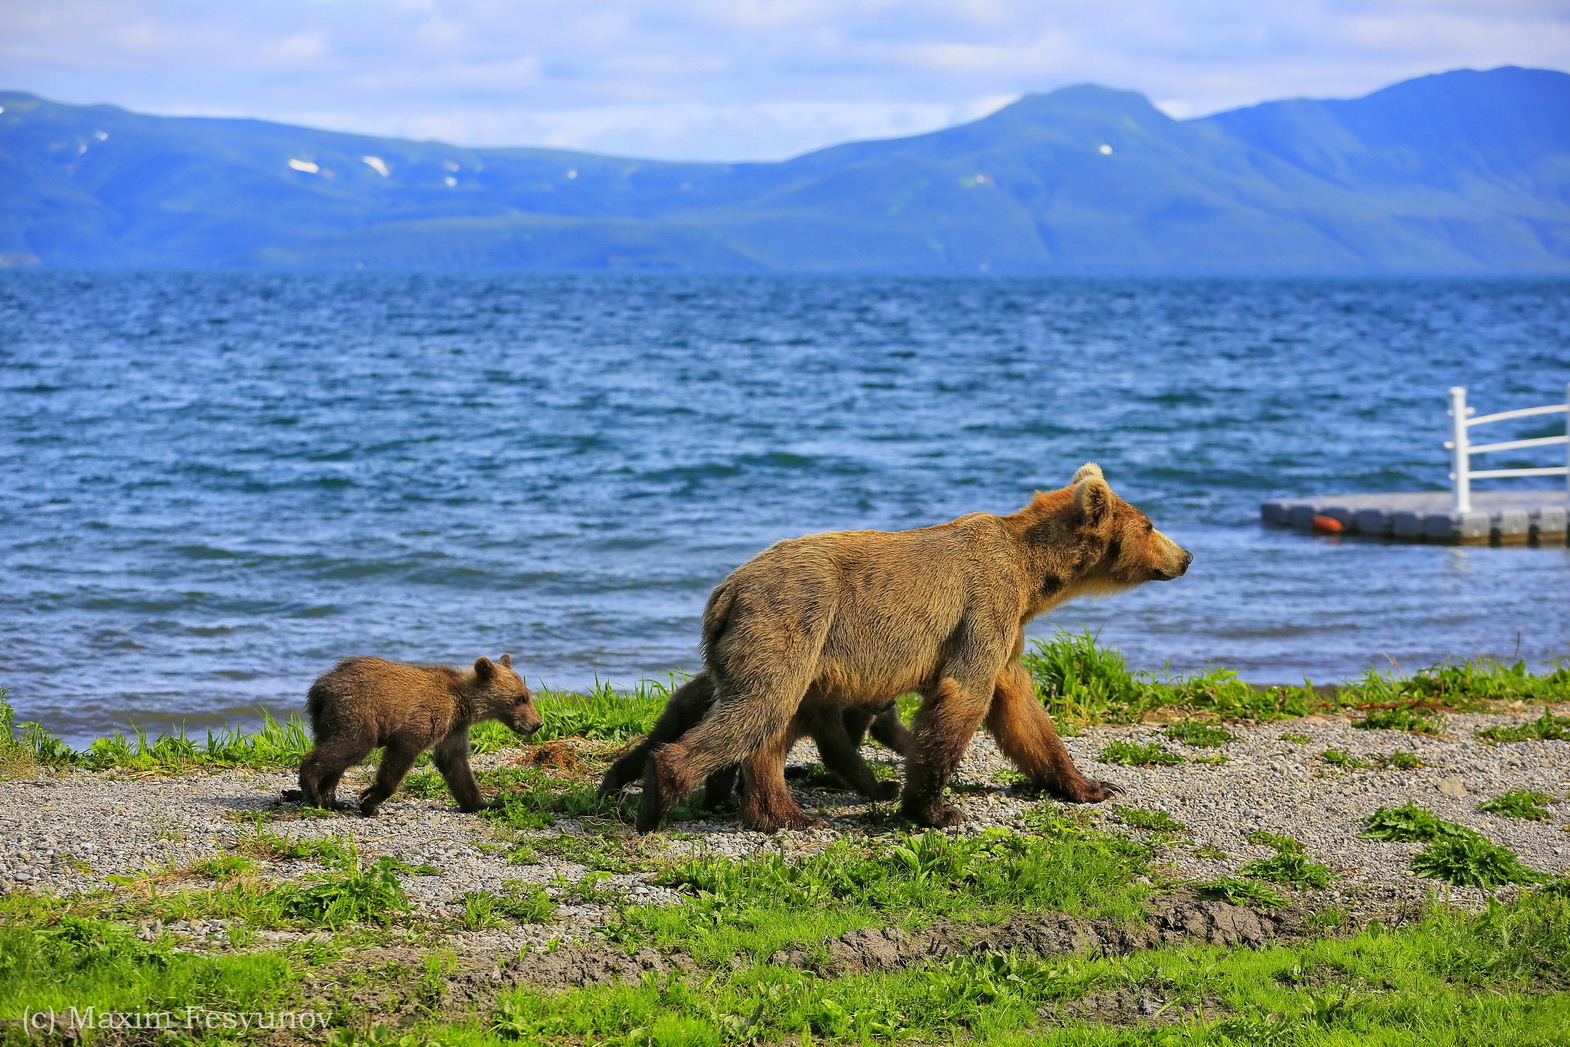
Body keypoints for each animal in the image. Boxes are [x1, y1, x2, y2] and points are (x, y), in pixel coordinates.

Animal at [637, 467, 1186, 835]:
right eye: (1150, 525)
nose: (1186, 555)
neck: (1034, 577)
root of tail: (724, 590)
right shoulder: (983, 606)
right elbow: (963, 695)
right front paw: (935, 808)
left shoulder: (1007, 628)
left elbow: (1022, 710)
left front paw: (1091, 785)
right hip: (790, 620)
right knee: (759, 707)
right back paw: (661, 795)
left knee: (769, 720)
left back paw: (786, 814)